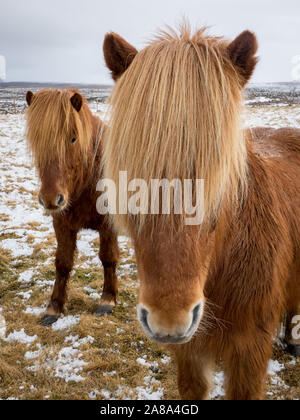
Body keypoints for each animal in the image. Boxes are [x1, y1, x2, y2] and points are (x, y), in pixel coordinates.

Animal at [25, 88, 119, 324]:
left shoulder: (108, 226)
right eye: (36, 140)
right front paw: (54, 307)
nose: (50, 199)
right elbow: (63, 263)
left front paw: (107, 299)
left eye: (73, 138)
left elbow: (108, 258)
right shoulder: (62, 224)